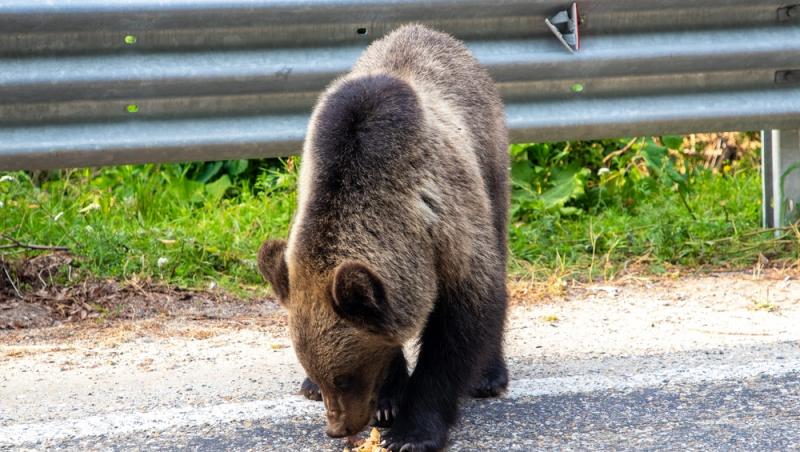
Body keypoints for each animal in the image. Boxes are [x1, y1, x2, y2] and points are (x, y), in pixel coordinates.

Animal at [260, 23, 510, 448]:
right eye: (328, 378)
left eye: (344, 378)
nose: (337, 428)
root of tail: (426, 31)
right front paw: (388, 399)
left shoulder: (447, 220)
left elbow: (464, 319)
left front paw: (412, 430)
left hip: (489, 157)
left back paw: (490, 375)